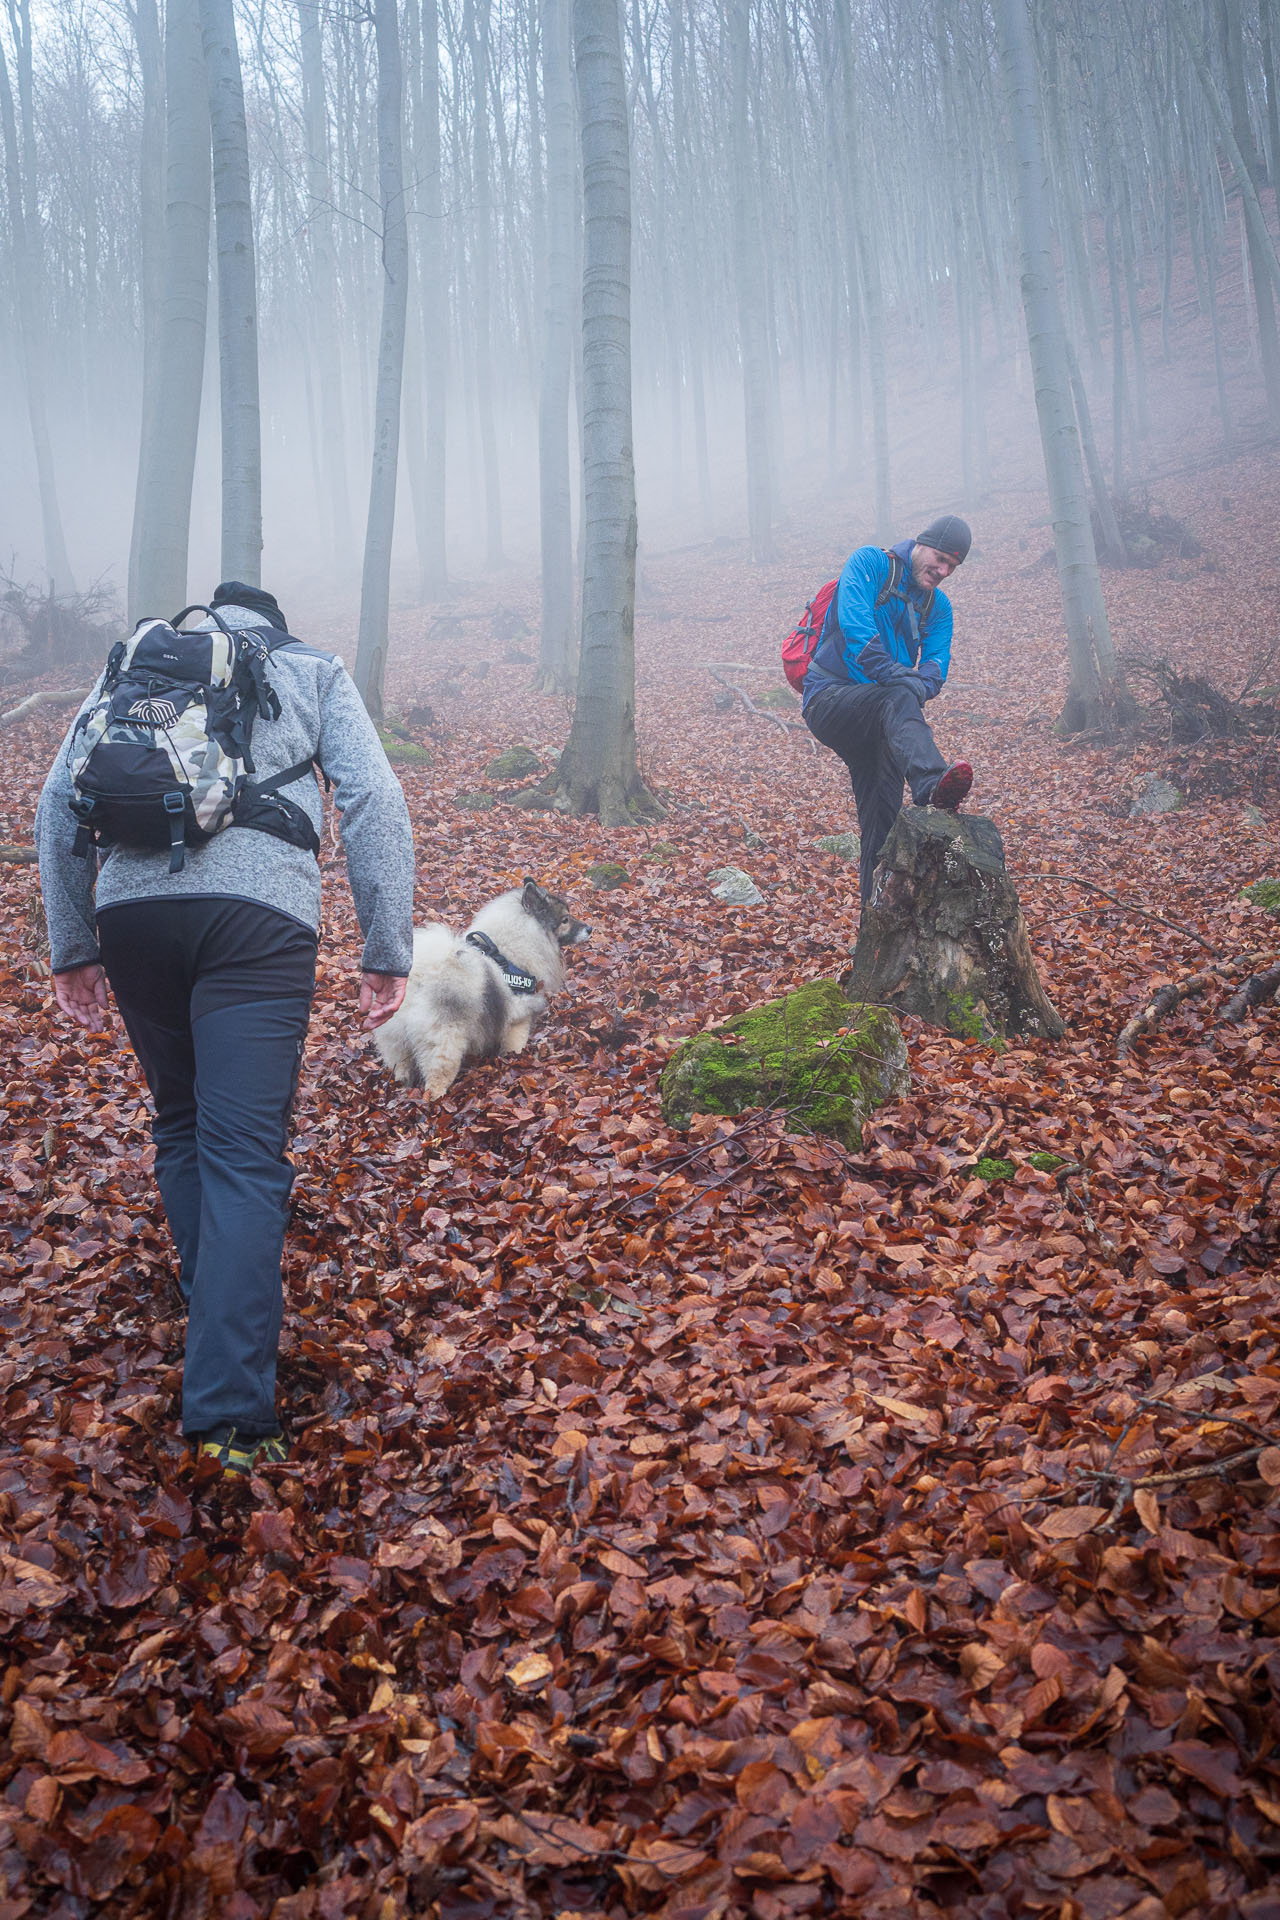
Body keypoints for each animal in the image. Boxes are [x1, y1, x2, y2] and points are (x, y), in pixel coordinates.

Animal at [370, 879, 591, 1098]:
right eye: (565, 920)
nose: (589, 928)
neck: (509, 953)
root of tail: (420, 980)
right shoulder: (518, 1020)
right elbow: (516, 1046)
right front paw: (517, 1059)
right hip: (445, 1038)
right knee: (437, 1073)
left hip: (396, 1041)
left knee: (401, 1067)